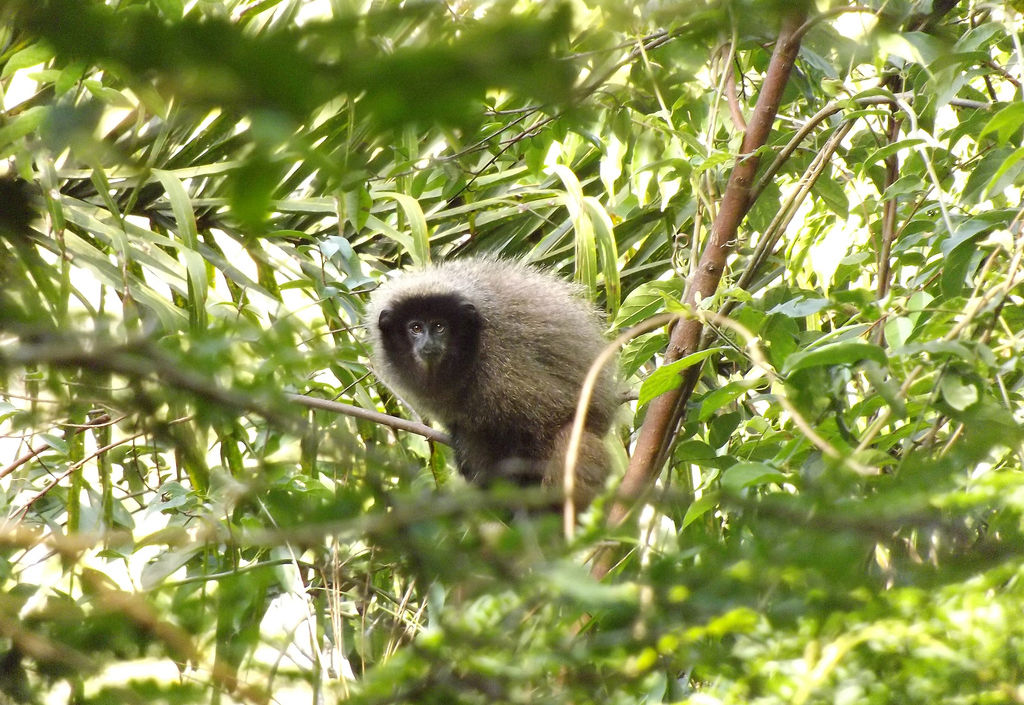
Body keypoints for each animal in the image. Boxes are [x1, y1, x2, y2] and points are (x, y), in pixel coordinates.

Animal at [365, 257, 620, 509]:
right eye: (415, 328)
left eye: (439, 326)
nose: (428, 343)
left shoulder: (503, 362)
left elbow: (557, 414)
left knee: (572, 435)